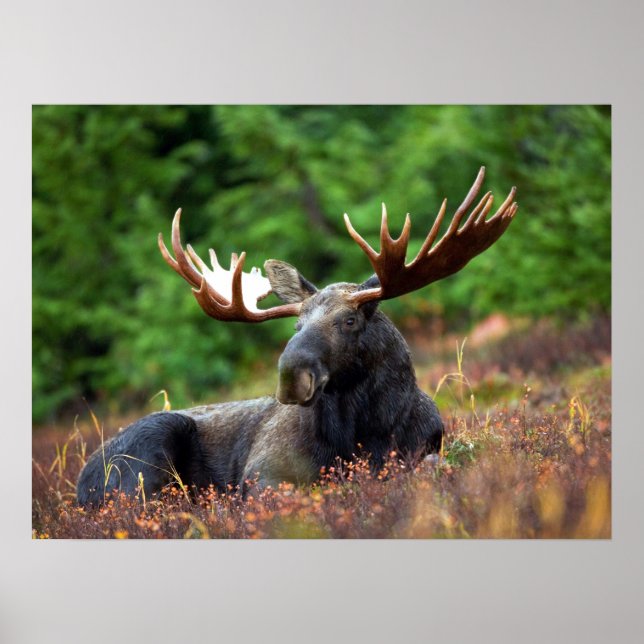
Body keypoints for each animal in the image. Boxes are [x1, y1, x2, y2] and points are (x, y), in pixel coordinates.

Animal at [76, 167, 517, 507]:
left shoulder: (425, 449)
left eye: (349, 321)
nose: (291, 376)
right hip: (148, 450)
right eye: (296, 325)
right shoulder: (262, 473)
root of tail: (80, 483)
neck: (365, 433)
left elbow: (431, 466)